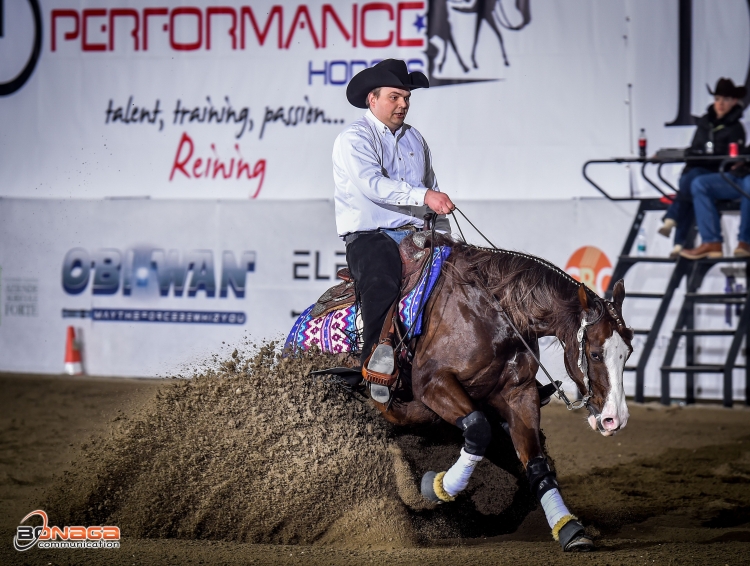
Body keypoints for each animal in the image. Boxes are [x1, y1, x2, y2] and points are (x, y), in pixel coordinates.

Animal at [376, 242, 636, 552]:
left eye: (628, 353)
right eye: (595, 354)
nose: (614, 419)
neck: (493, 314)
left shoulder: (519, 393)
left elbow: (535, 461)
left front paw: (568, 528)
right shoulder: (432, 382)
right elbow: (477, 429)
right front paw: (436, 487)